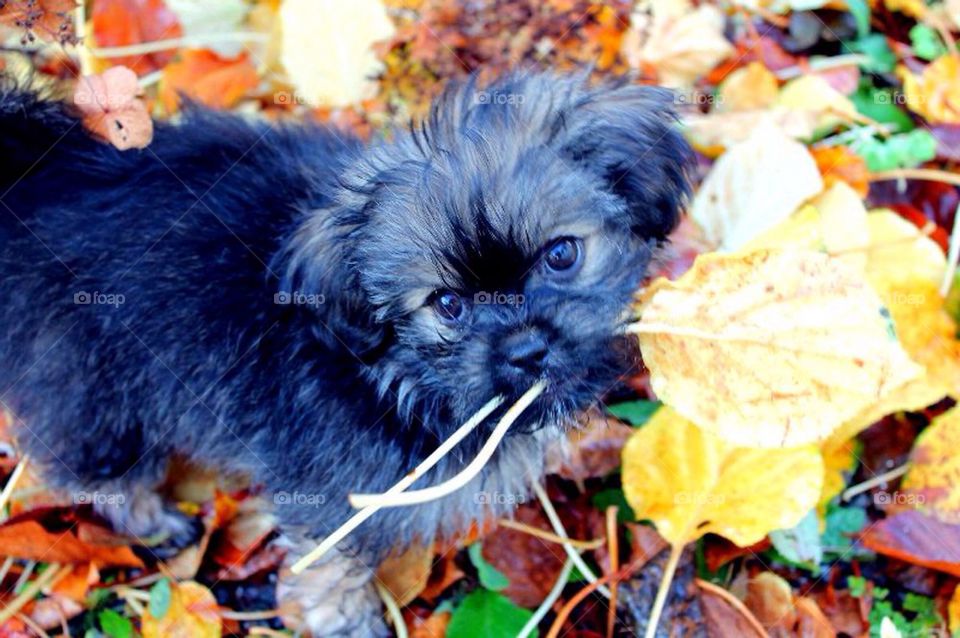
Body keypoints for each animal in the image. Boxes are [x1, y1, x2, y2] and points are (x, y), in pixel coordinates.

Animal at [0, 71, 688, 636]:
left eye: (562, 254)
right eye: (446, 305)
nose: (524, 347)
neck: (395, 378)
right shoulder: (331, 496)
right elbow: (329, 571)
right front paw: (347, 622)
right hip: (91, 387)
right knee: (98, 470)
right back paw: (157, 523)